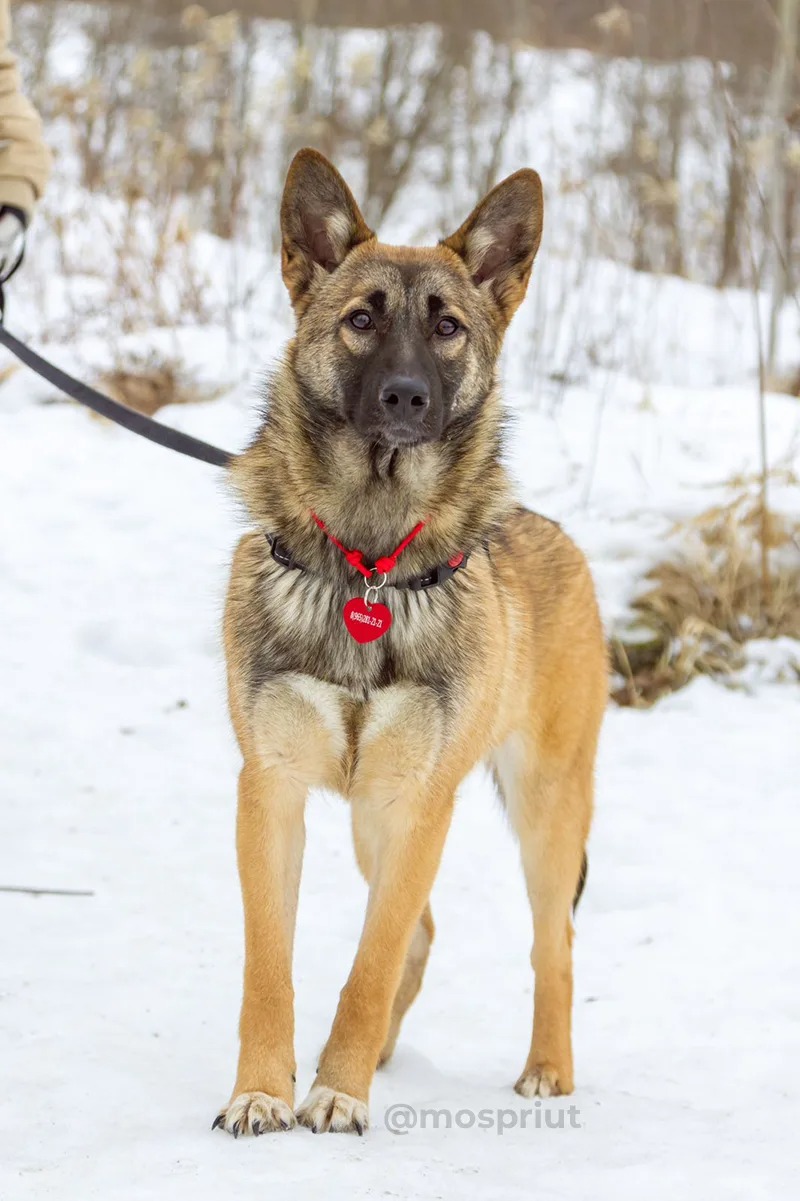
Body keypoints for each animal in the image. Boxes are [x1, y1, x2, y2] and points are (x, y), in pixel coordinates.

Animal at [213, 150, 605, 1133]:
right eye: (361, 319)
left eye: (449, 328)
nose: (405, 396)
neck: (368, 561)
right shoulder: (270, 793)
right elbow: (269, 968)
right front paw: (263, 1090)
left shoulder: (418, 804)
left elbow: (371, 960)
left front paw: (338, 1094)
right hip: (370, 820)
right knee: (423, 930)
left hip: (543, 811)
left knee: (551, 940)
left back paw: (546, 1067)